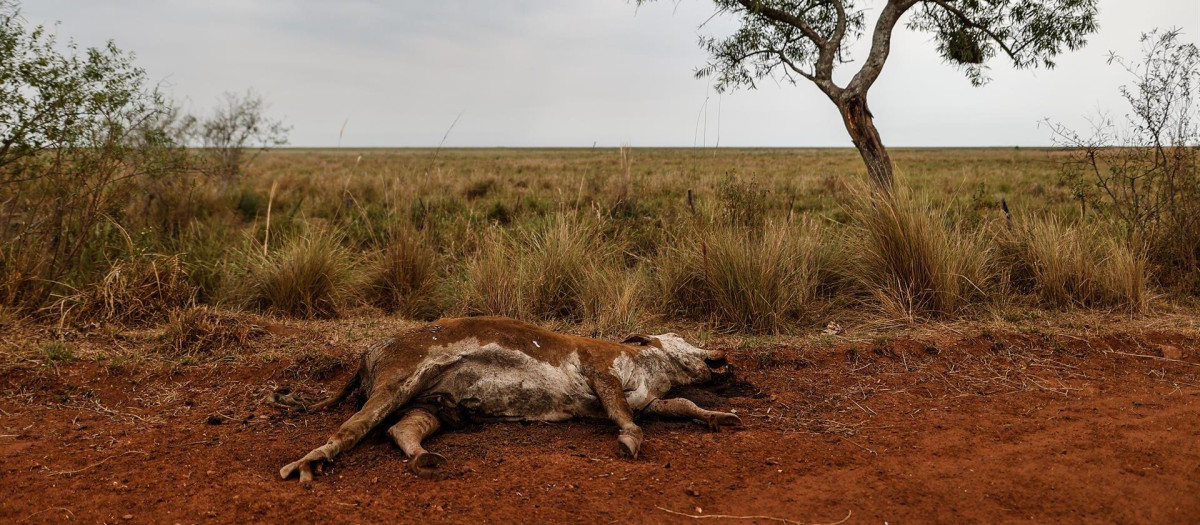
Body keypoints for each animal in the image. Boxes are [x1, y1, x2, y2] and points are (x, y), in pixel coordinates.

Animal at [278, 314, 739, 481]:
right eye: (681, 337)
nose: (718, 353)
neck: (651, 369)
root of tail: (370, 352)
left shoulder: (652, 401)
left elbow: (682, 405)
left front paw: (720, 416)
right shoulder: (600, 367)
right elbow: (624, 414)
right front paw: (629, 440)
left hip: (432, 405)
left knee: (401, 430)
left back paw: (424, 459)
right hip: (398, 380)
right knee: (352, 428)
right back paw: (307, 463)